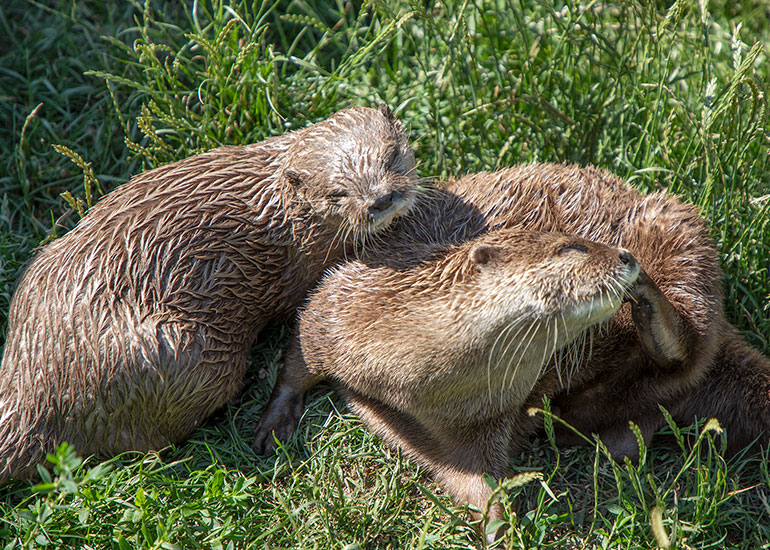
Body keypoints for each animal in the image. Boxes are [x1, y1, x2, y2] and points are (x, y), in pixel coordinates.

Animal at [0, 105, 419, 485]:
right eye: (337, 193)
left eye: (391, 156)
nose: (380, 200)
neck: (295, 222)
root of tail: (37, 382)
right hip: (179, 354)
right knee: (153, 440)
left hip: (36, 270)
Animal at [256, 226, 640, 537]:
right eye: (571, 247)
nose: (627, 255)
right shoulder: (335, 309)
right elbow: (299, 359)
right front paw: (274, 426)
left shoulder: (484, 422)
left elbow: (477, 480)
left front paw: (498, 529)